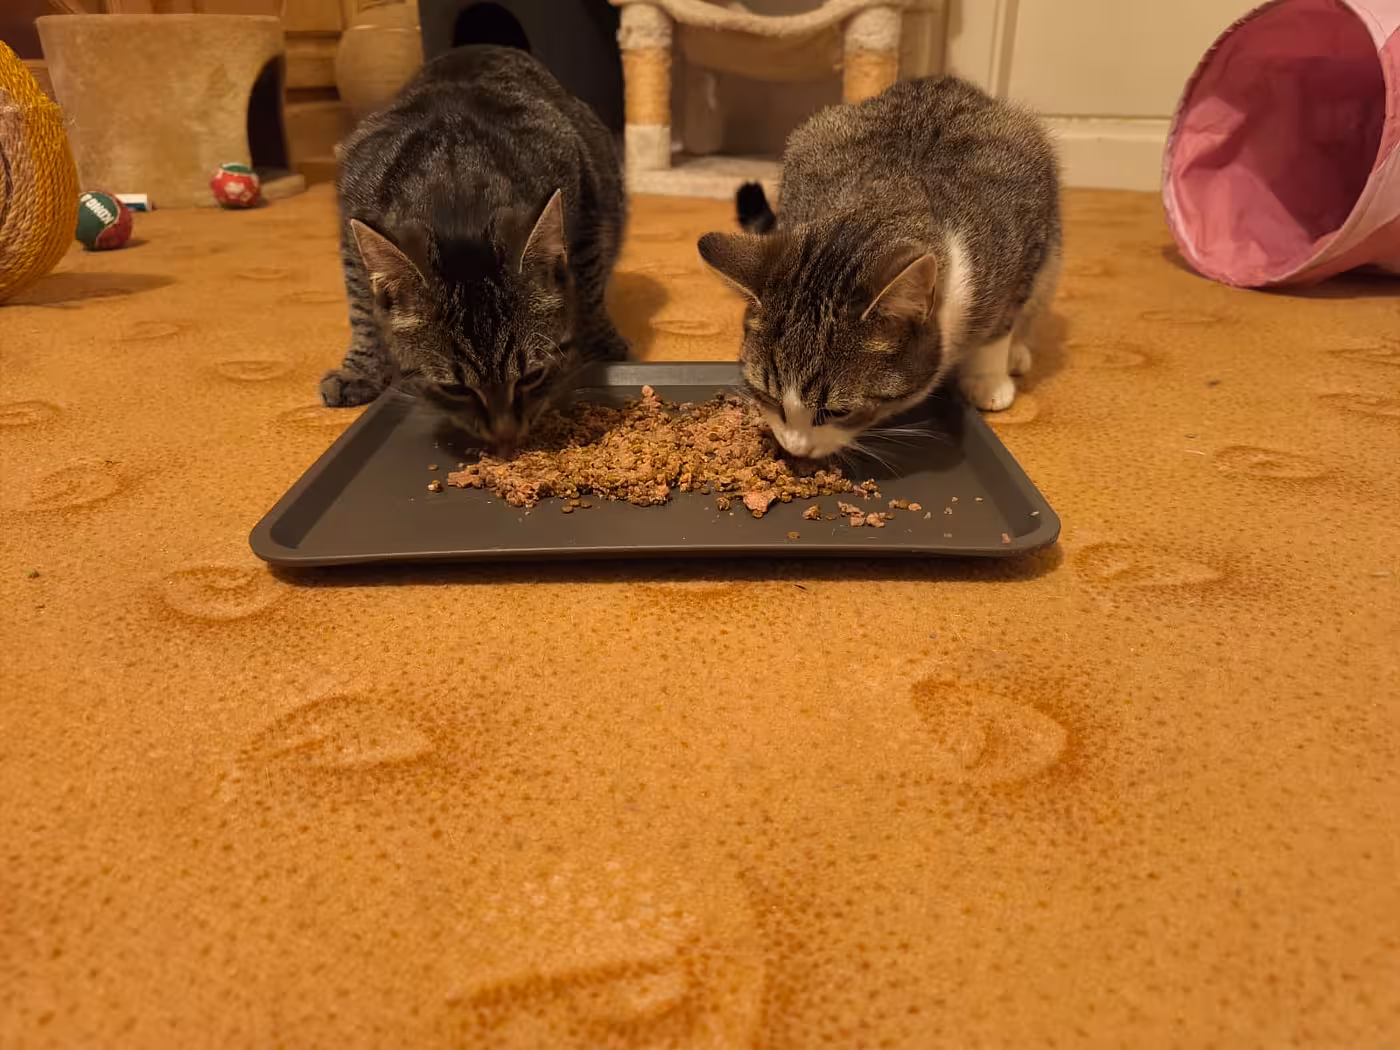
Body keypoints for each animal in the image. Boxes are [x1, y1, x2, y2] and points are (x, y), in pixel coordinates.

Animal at [320, 45, 629, 451]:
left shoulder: (586, 191)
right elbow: (362, 312)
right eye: (456, 390)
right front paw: (360, 368)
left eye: (532, 377)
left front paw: (596, 342)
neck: (455, 191)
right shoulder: (350, 226)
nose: (505, 435)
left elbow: (590, 286)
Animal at [697, 75, 1061, 460]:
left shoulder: (1023, 238)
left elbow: (999, 327)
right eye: (768, 396)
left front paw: (988, 380)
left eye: (837, 412)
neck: (891, 196)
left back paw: (1016, 353)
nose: (796, 448)